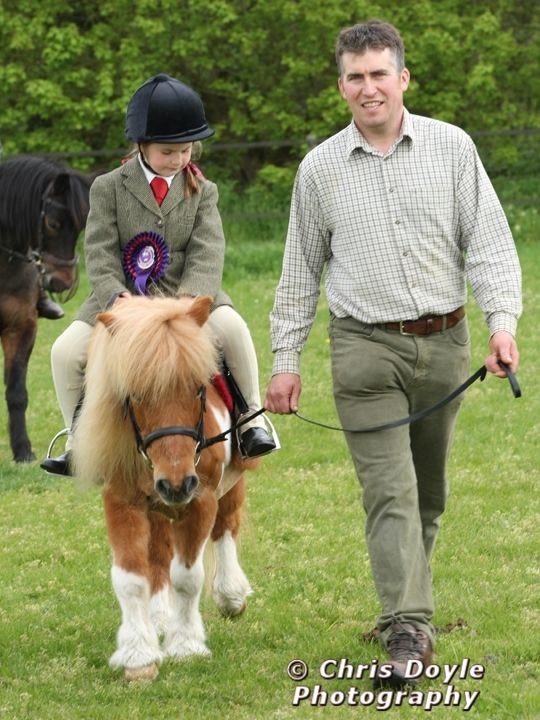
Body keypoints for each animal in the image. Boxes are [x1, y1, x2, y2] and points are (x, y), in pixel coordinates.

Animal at [0, 156, 93, 462]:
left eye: (79, 227)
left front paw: (22, 450)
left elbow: (17, 392)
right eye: (52, 224)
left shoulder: (22, 327)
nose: (63, 283)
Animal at [72, 294, 261, 682]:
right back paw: (159, 617)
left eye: (199, 388)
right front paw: (138, 657)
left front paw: (186, 647)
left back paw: (231, 595)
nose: (176, 483)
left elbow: (187, 577)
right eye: (136, 395)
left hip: (229, 483)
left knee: (226, 526)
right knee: (158, 556)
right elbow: (131, 577)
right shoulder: (122, 501)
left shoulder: (200, 500)